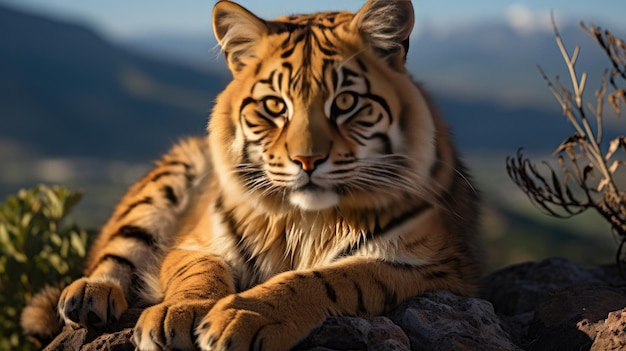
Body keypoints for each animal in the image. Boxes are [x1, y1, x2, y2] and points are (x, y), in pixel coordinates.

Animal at [19, 0, 478, 351]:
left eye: (346, 101)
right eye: (275, 105)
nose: (307, 160)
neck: (304, 218)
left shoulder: (426, 264)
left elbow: (327, 278)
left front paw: (243, 317)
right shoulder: (195, 242)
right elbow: (199, 273)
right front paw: (176, 314)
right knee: (114, 252)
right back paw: (89, 296)